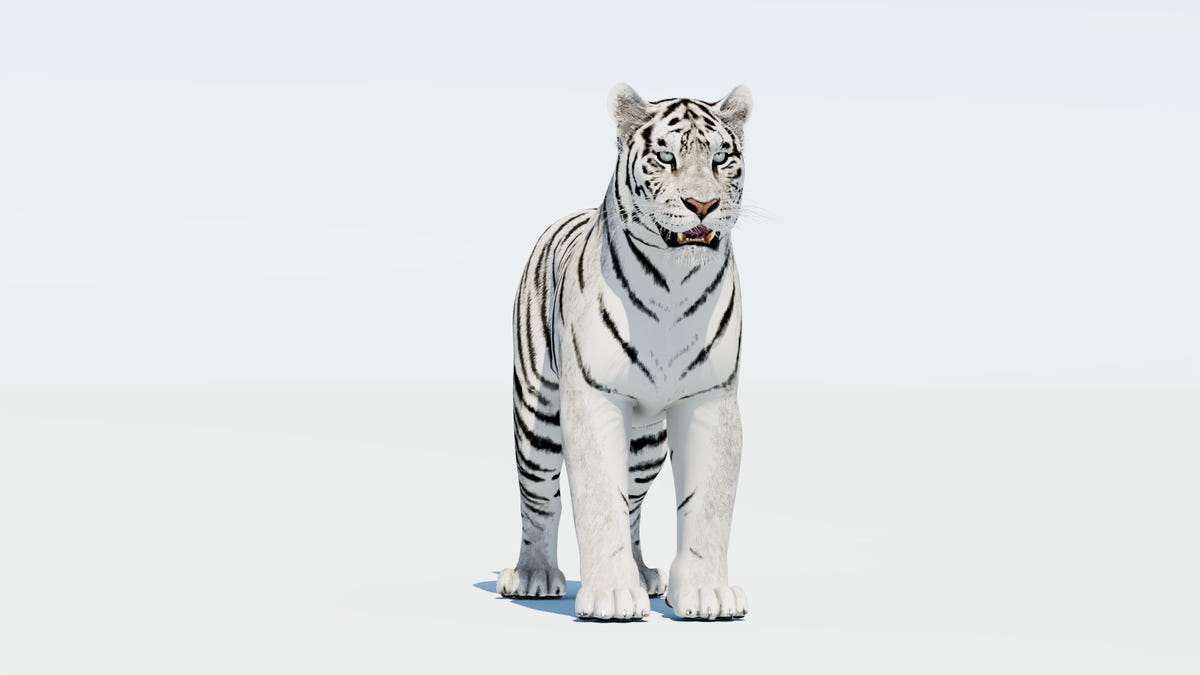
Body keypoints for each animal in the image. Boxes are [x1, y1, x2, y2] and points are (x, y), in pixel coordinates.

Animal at [498, 83, 752, 621]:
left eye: (721, 158)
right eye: (665, 156)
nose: (702, 204)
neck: (674, 284)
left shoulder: (711, 399)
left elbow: (708, 503)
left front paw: (707, 594)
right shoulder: (592, 400)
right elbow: (598, 500)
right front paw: (612, 596)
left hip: (646, 443)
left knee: (633, 504)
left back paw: (643, 575)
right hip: (537, 416)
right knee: (539, 497)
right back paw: (533, 575)